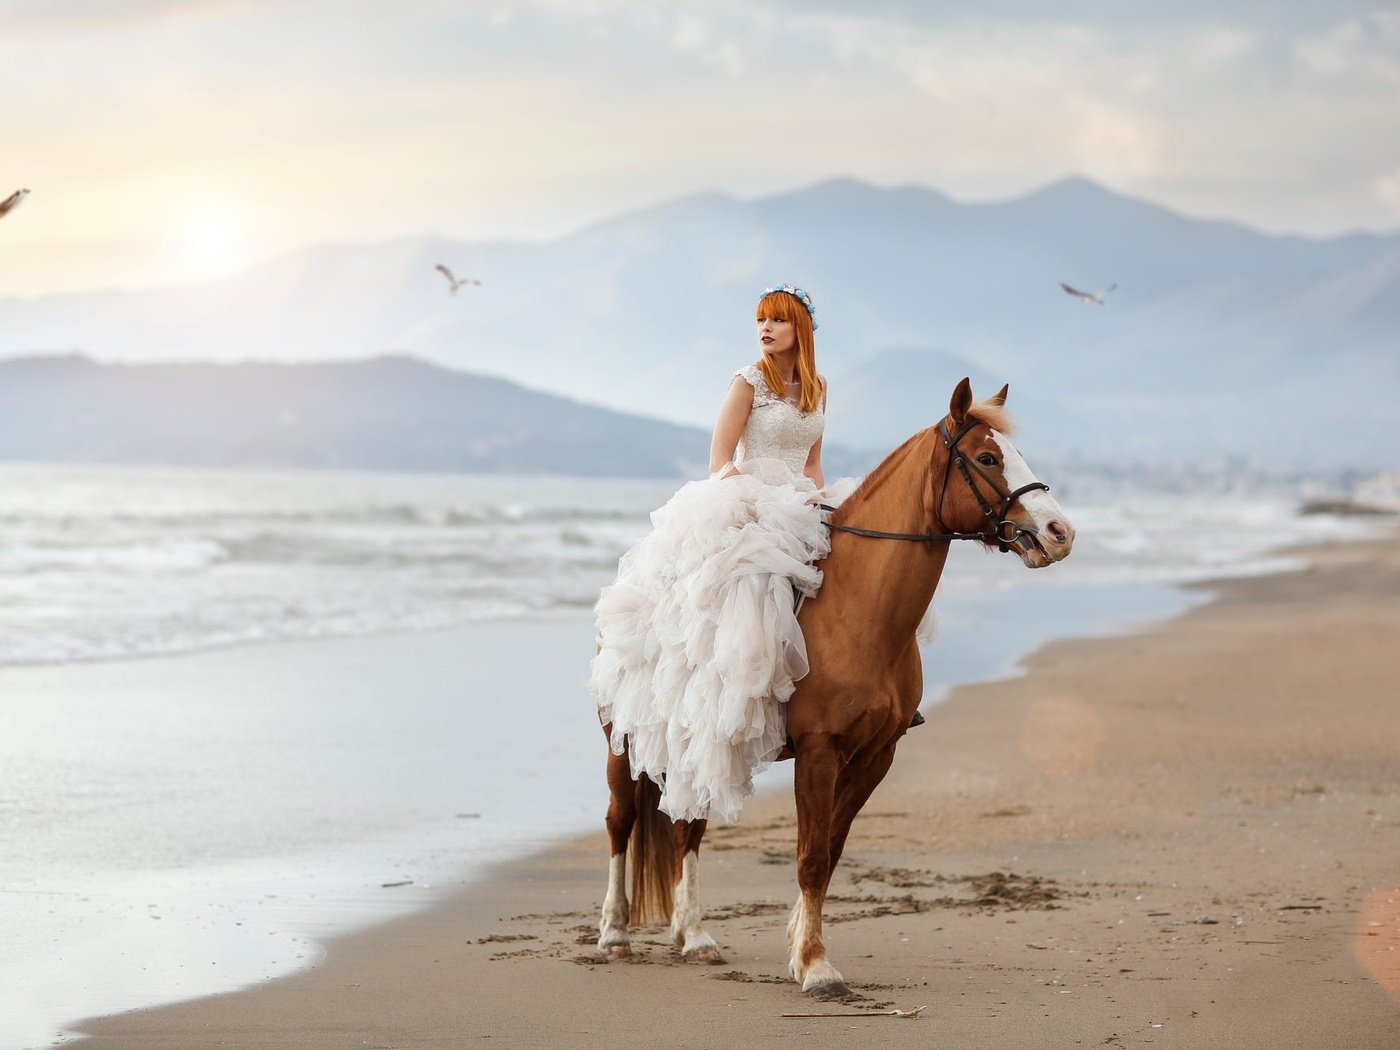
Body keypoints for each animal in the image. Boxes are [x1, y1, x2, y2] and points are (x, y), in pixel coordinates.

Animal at [590, 380, 1069, 1002]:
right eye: (988, 459)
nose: (1060, 533)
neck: (859, 610)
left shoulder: (875, 755)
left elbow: (832, 850)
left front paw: (801, 948)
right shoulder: (818, 752)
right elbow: (812, 855)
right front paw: (817, 967)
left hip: (701, 742)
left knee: (685, 828)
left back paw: (692, 935)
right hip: (622, 743)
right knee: (621, 823)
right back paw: (614, 932)